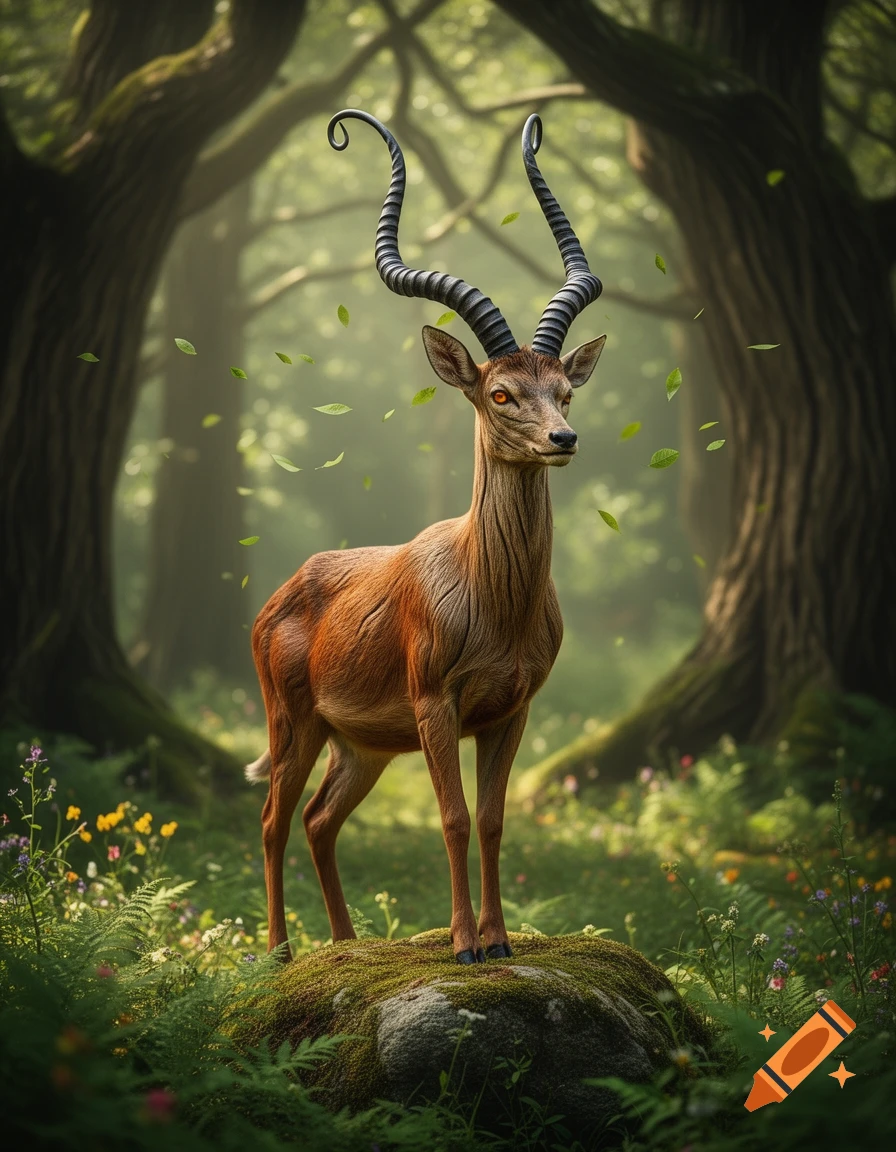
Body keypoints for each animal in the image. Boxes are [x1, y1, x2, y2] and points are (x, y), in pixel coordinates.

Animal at [246, 108, 606, 965]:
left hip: (362, 745)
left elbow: (496, 818)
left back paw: (346, 946)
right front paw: (465, 945)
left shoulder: (512, 710)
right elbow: (452, 817)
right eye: (501, 392)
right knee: (274, 819)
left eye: (565, 388)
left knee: (320, 820)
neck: (493, 595)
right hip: (294, 723)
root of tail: (279, 596)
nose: (563, 438)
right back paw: (279, 952)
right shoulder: (435, 703)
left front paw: (501, 942)